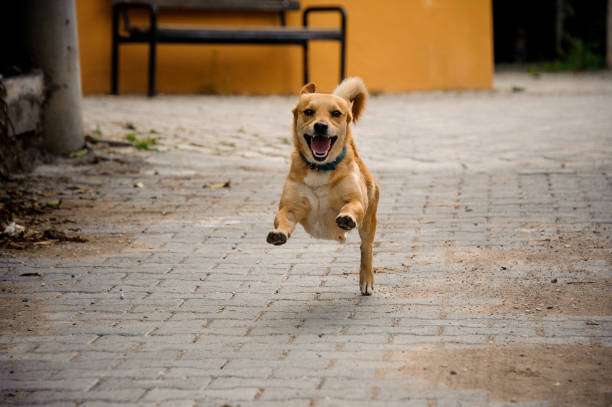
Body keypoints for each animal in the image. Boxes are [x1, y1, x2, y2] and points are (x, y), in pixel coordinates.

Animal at [266, 76, 378, 294]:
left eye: (336, 113)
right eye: (308, 111)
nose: (320, 126)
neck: (320, 168)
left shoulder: (356, 200)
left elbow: (352, 207)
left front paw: (346, 218)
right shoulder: (290, 208)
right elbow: (282, 218)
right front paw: (279, 234)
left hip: (369, 221)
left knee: (366, 248)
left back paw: (366, 279)